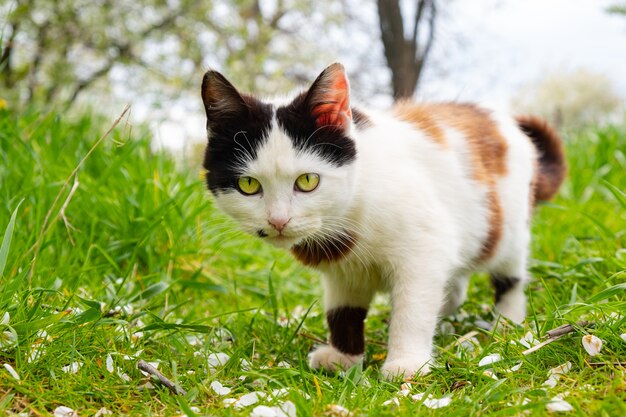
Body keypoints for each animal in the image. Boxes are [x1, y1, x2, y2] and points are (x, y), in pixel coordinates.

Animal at [200, 62, 564, 380]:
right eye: (249, 185)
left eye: (307, 181)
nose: (278, 220)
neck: (350, 211)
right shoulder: (342, 271)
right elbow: (343, 310)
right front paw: (343, 357)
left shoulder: (424, 245)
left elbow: (413, 307)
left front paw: (406, 363)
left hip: (507, 225)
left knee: (508, 273)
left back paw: (507, 320)